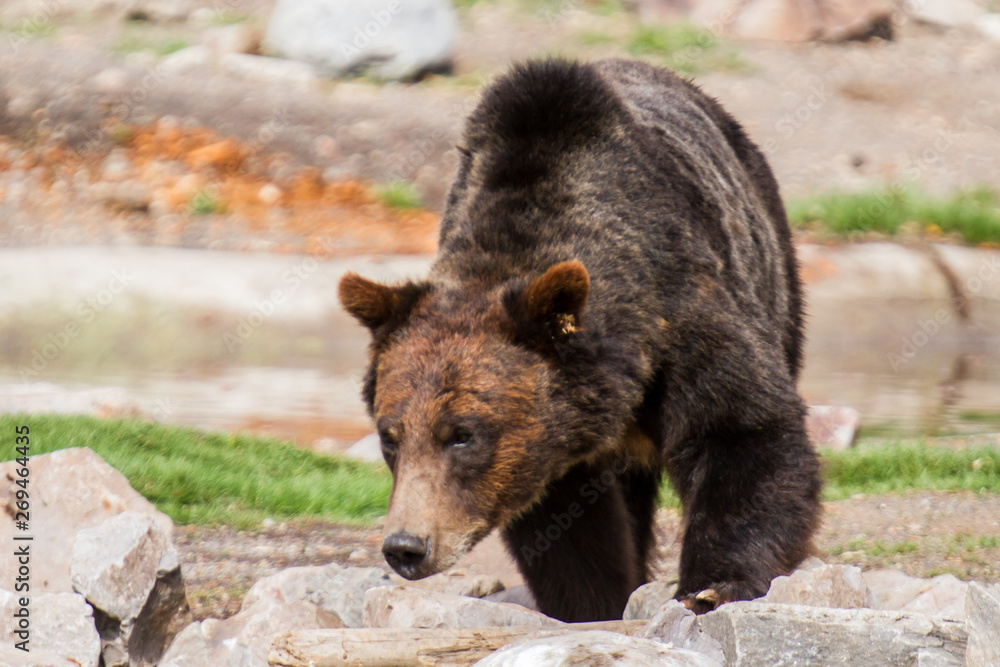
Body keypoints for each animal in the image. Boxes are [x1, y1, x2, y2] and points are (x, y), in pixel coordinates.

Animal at [339, 58, 823, 622]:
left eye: (462, 434)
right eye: (388, 436)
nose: (406, 547)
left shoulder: (684, 315)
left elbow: (739, 430)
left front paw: (710, 586)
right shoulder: (550, 446)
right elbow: (569, 529)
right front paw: (594, 602)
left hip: (771, 264)